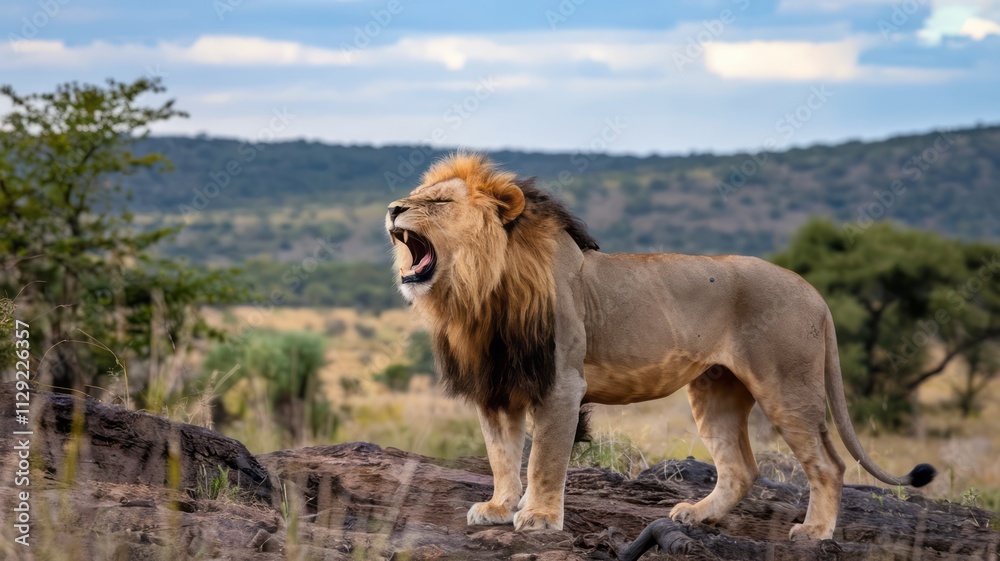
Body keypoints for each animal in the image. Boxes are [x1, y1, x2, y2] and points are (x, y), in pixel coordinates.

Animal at [385, 153, 935, 541]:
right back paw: (697, 516)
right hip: (717, 390)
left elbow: (543, 458)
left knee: (829, 464)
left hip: (788, 387)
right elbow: (501, 456)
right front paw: (500, 508)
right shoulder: (496, 387)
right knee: (742, 469)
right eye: (413, 196)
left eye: (437, 203)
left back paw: (815, 531)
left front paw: (538, 517)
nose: (392, 208)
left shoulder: (561, 384)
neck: (478, 295)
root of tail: (813, 290)